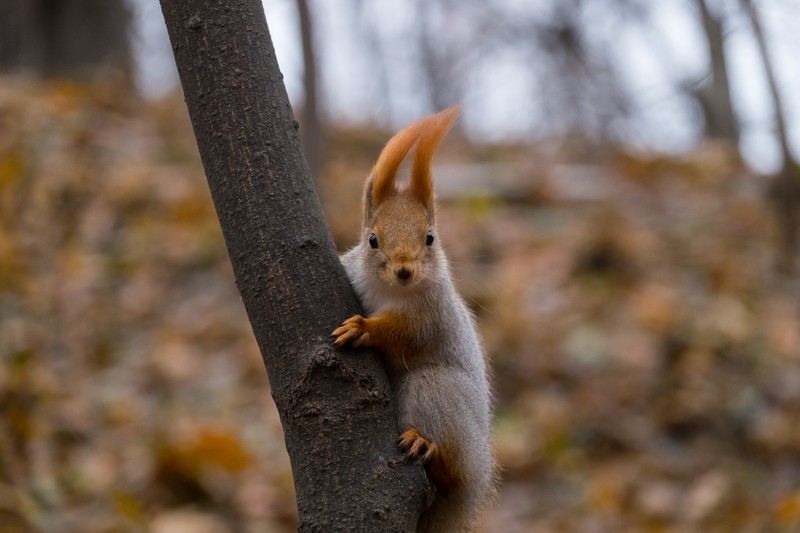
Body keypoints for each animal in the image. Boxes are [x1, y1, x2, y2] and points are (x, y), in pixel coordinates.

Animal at [332, 107, 496, 528]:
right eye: (372, 239)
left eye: (430, 237)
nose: (405, 270)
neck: (393, 292)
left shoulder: (432, 315)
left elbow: (405, 334)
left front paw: (363, 328)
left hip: (439, 395)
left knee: (452, 475)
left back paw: (428, 448)